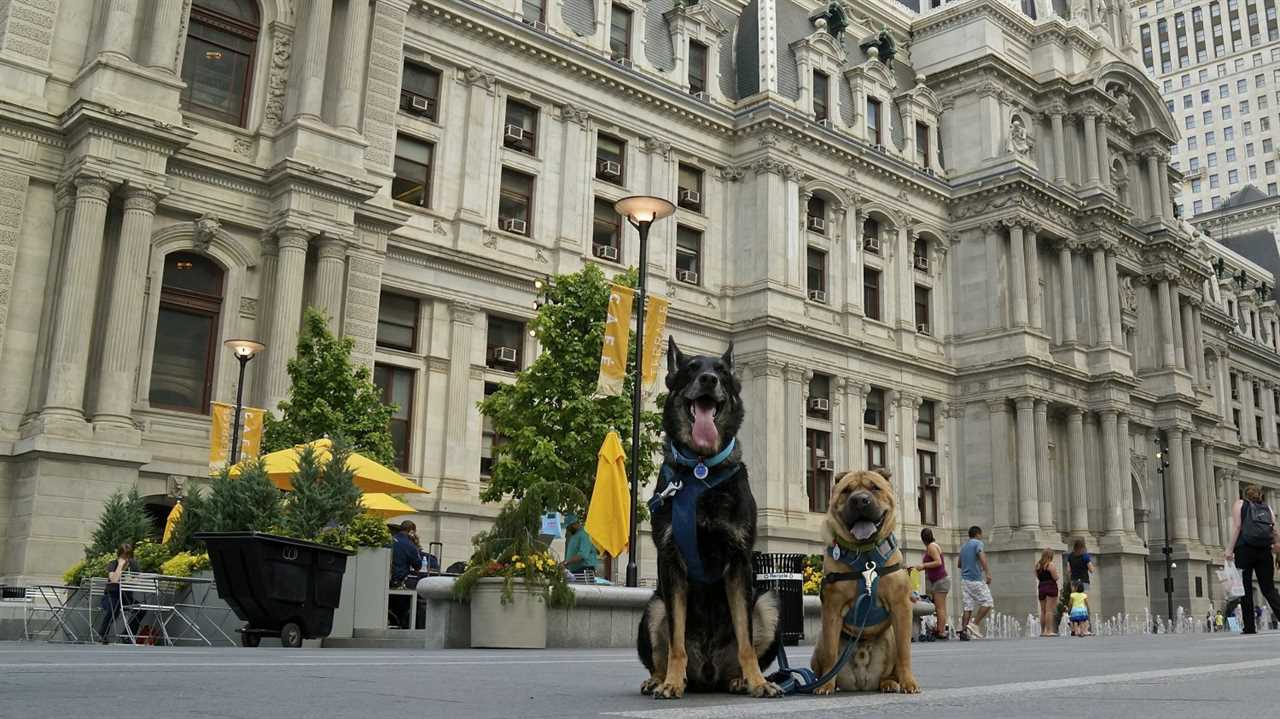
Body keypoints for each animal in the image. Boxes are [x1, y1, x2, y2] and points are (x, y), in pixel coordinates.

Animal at [637, 337, 783, 695]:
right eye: (691, 369)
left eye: (721, 372)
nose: (708, 379)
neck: (701, 469)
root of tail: (707, 673)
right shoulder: (671, 564)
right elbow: (675, 642)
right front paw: (671, 682)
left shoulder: (739, 562)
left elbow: (745, 639)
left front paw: (757, 681)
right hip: (653, 607)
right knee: (662, 650)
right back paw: (659, 678)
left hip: (767, 603)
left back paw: (739, 679)